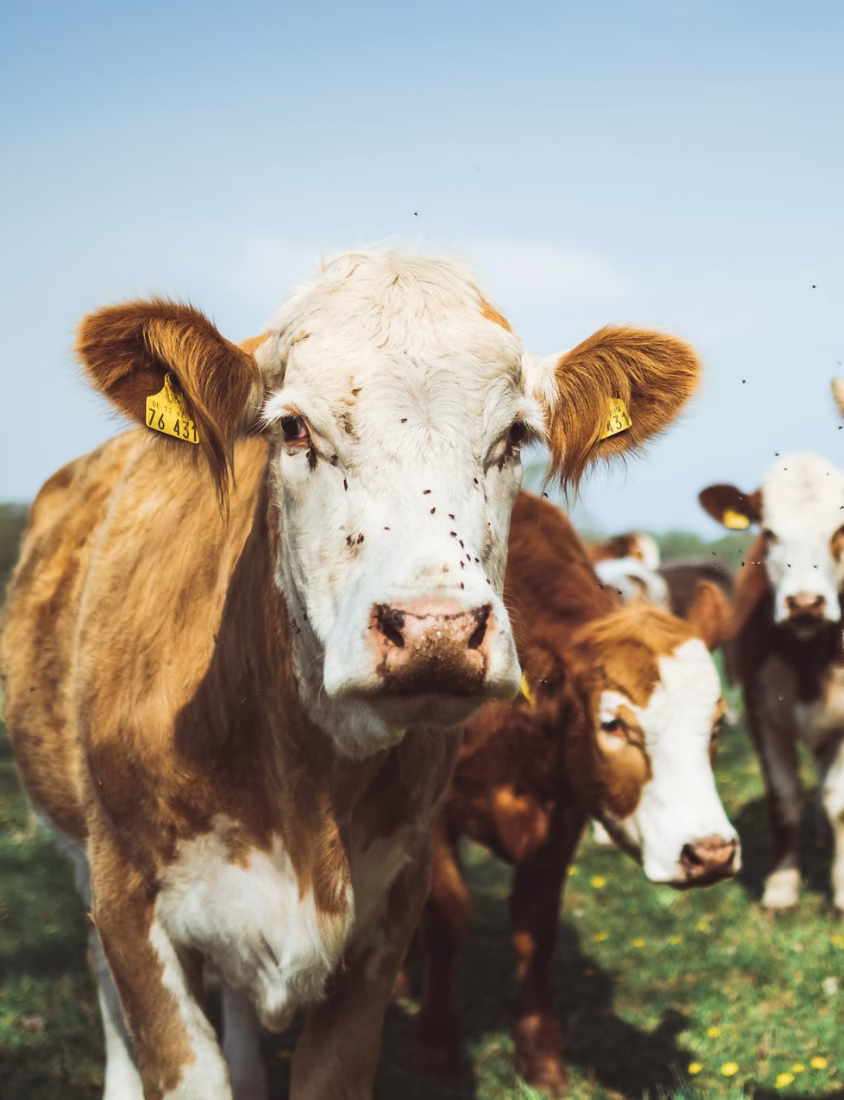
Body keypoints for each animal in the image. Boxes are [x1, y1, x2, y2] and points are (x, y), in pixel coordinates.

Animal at [410, 491, 738, 1098]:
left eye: (718, 724)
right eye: (614, 724)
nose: (710, 853)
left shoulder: (562, 819)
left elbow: (535, 932)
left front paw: (541, 1058)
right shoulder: (432, 816)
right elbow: (445, 919)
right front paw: (437, 1049)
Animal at [700, 452, 844, 912]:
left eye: (840, 531)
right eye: (769, 533)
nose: (805, 603)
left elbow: (839, 802)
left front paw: (841, 892)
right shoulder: (760, 712)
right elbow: (783, 800)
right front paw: (781, 887)